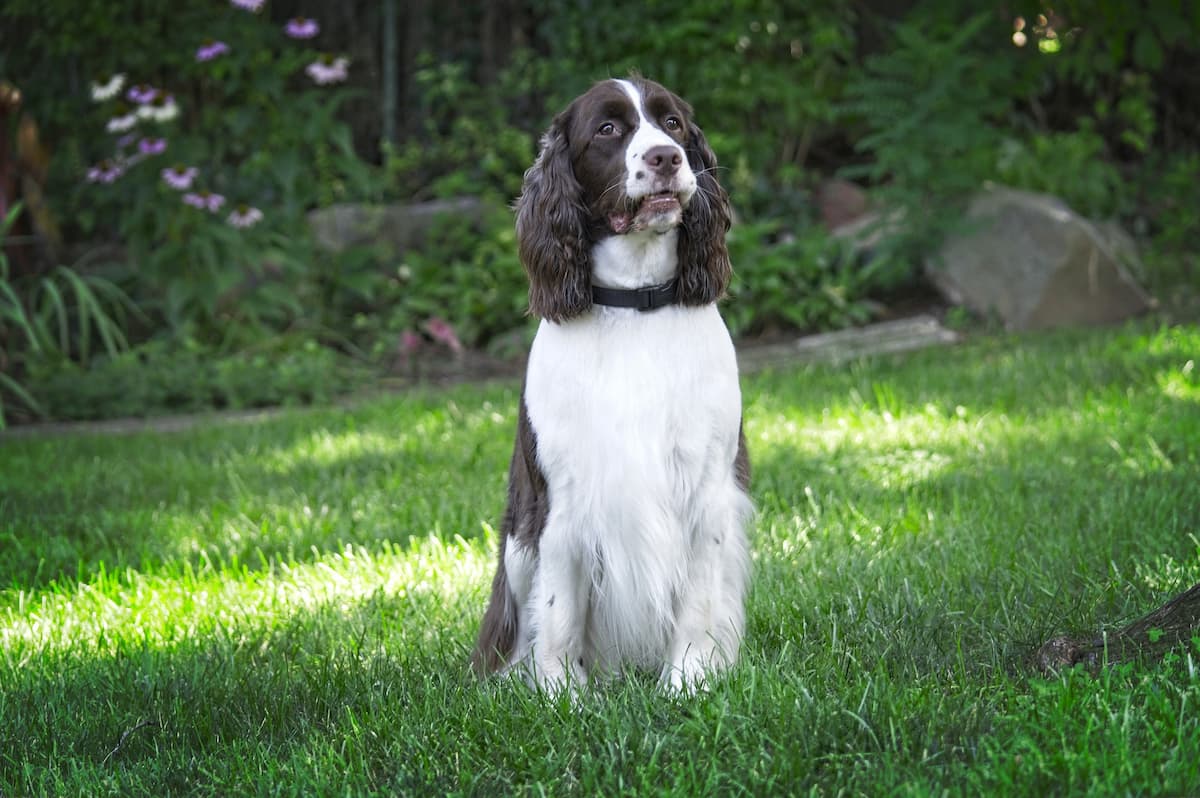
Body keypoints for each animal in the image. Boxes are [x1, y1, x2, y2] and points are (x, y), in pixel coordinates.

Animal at [470, 76, 744, 691]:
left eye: (673, 124)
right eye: (608, 129)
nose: (665, 158)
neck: (633, 304)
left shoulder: (708, 490)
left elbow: (697, 605)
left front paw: (687, 683)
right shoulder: (559, 503)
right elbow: (558, 613)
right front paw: (561, 696)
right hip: (516, 545)